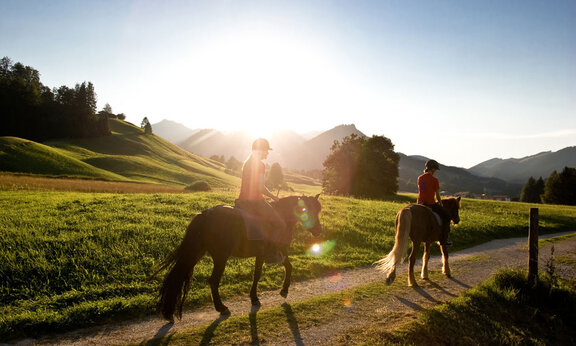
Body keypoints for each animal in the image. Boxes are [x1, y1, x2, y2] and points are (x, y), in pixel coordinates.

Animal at [151, 195, 322, 322]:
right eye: (307, 209)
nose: (318, 230)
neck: (281, 215)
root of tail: (205, 214)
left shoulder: (268, 253)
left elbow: (276, 269)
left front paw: (265, 295)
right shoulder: (272, 251)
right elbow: (269, 271)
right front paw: (277, 292)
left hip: (198, 251)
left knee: (180, 274)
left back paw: (169, 312)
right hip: (220, 257)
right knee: (213, 281)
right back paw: (221, 308)